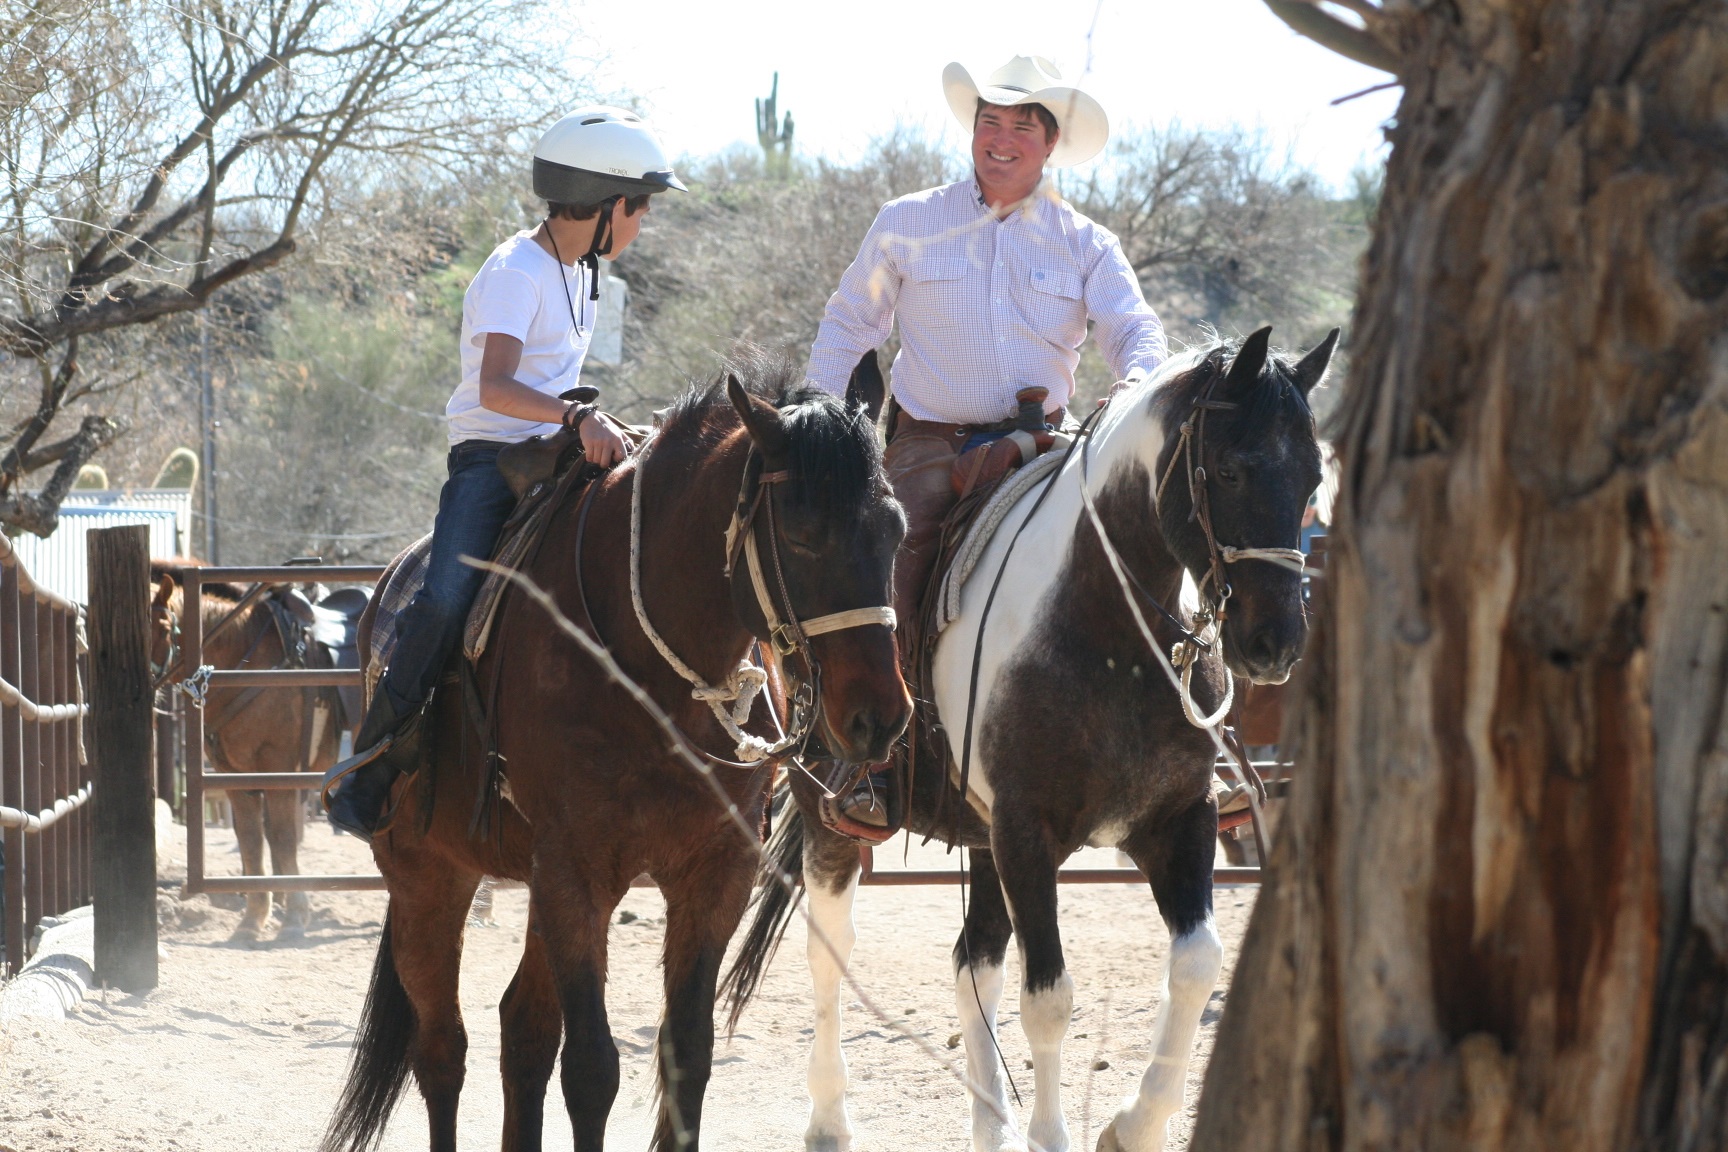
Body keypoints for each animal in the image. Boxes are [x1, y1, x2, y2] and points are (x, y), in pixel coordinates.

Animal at [152, 566, 357, 946]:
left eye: (161, 626)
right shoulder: (233, 775)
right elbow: (250, 839)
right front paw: (253, 919)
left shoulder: (278, 770)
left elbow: (283, 838)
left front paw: (294, 917)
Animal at [328, 357, 912, 1152]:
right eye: (801, 533)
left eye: (896, 529)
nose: (880, 717)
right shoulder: (577, 872)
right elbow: (592, 1068)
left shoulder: (713, 874)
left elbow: (685, 1054)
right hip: (428, 875)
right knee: (443, 1049)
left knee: (522, 1032)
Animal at [722, 331, 1327, 1152]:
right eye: (1230, 469)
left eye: (1314, 476)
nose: (1275, 643)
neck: (1105, 630)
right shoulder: (1027, 833)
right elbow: (1049, 998)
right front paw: (1056, 1132)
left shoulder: (1178, 821)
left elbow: (1198, 963)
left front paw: (1134, 1123)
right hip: (838, 821)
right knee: (830, 953)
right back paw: (828, 1120)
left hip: (984, 843)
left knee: (973, 962)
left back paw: (988, 1123)